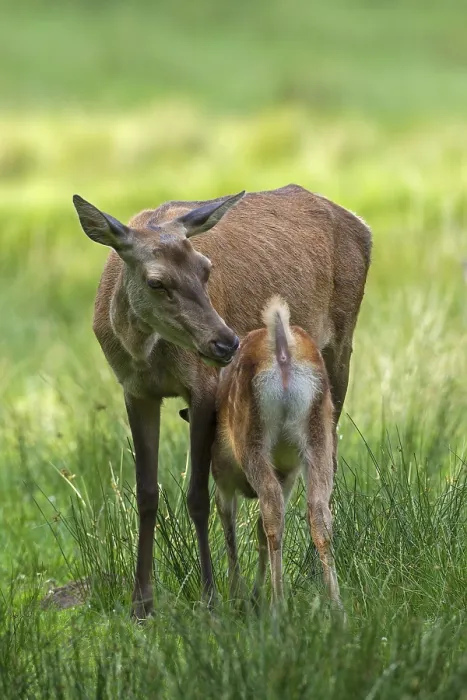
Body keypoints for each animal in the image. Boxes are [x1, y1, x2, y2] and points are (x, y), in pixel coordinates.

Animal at [208, 295, 342, 610]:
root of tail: (282, 349)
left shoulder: (221, 476)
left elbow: (229, 524)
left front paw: (238, 594)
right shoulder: (288, 474)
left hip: (252, 437)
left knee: (271, 509)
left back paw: (278, 603)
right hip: (319, 432)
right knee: (319, 513)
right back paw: (336, 605)